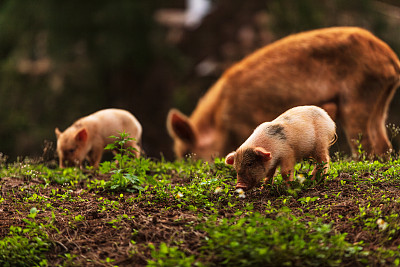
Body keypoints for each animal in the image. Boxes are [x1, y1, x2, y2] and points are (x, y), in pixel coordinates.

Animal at [166, 26, 400, 161]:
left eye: (188, 155)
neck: (221, 122)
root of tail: (391, 58)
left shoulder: (246, 122)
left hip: (359, 96)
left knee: (367, 146)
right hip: (381, 102)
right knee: (383, 145)